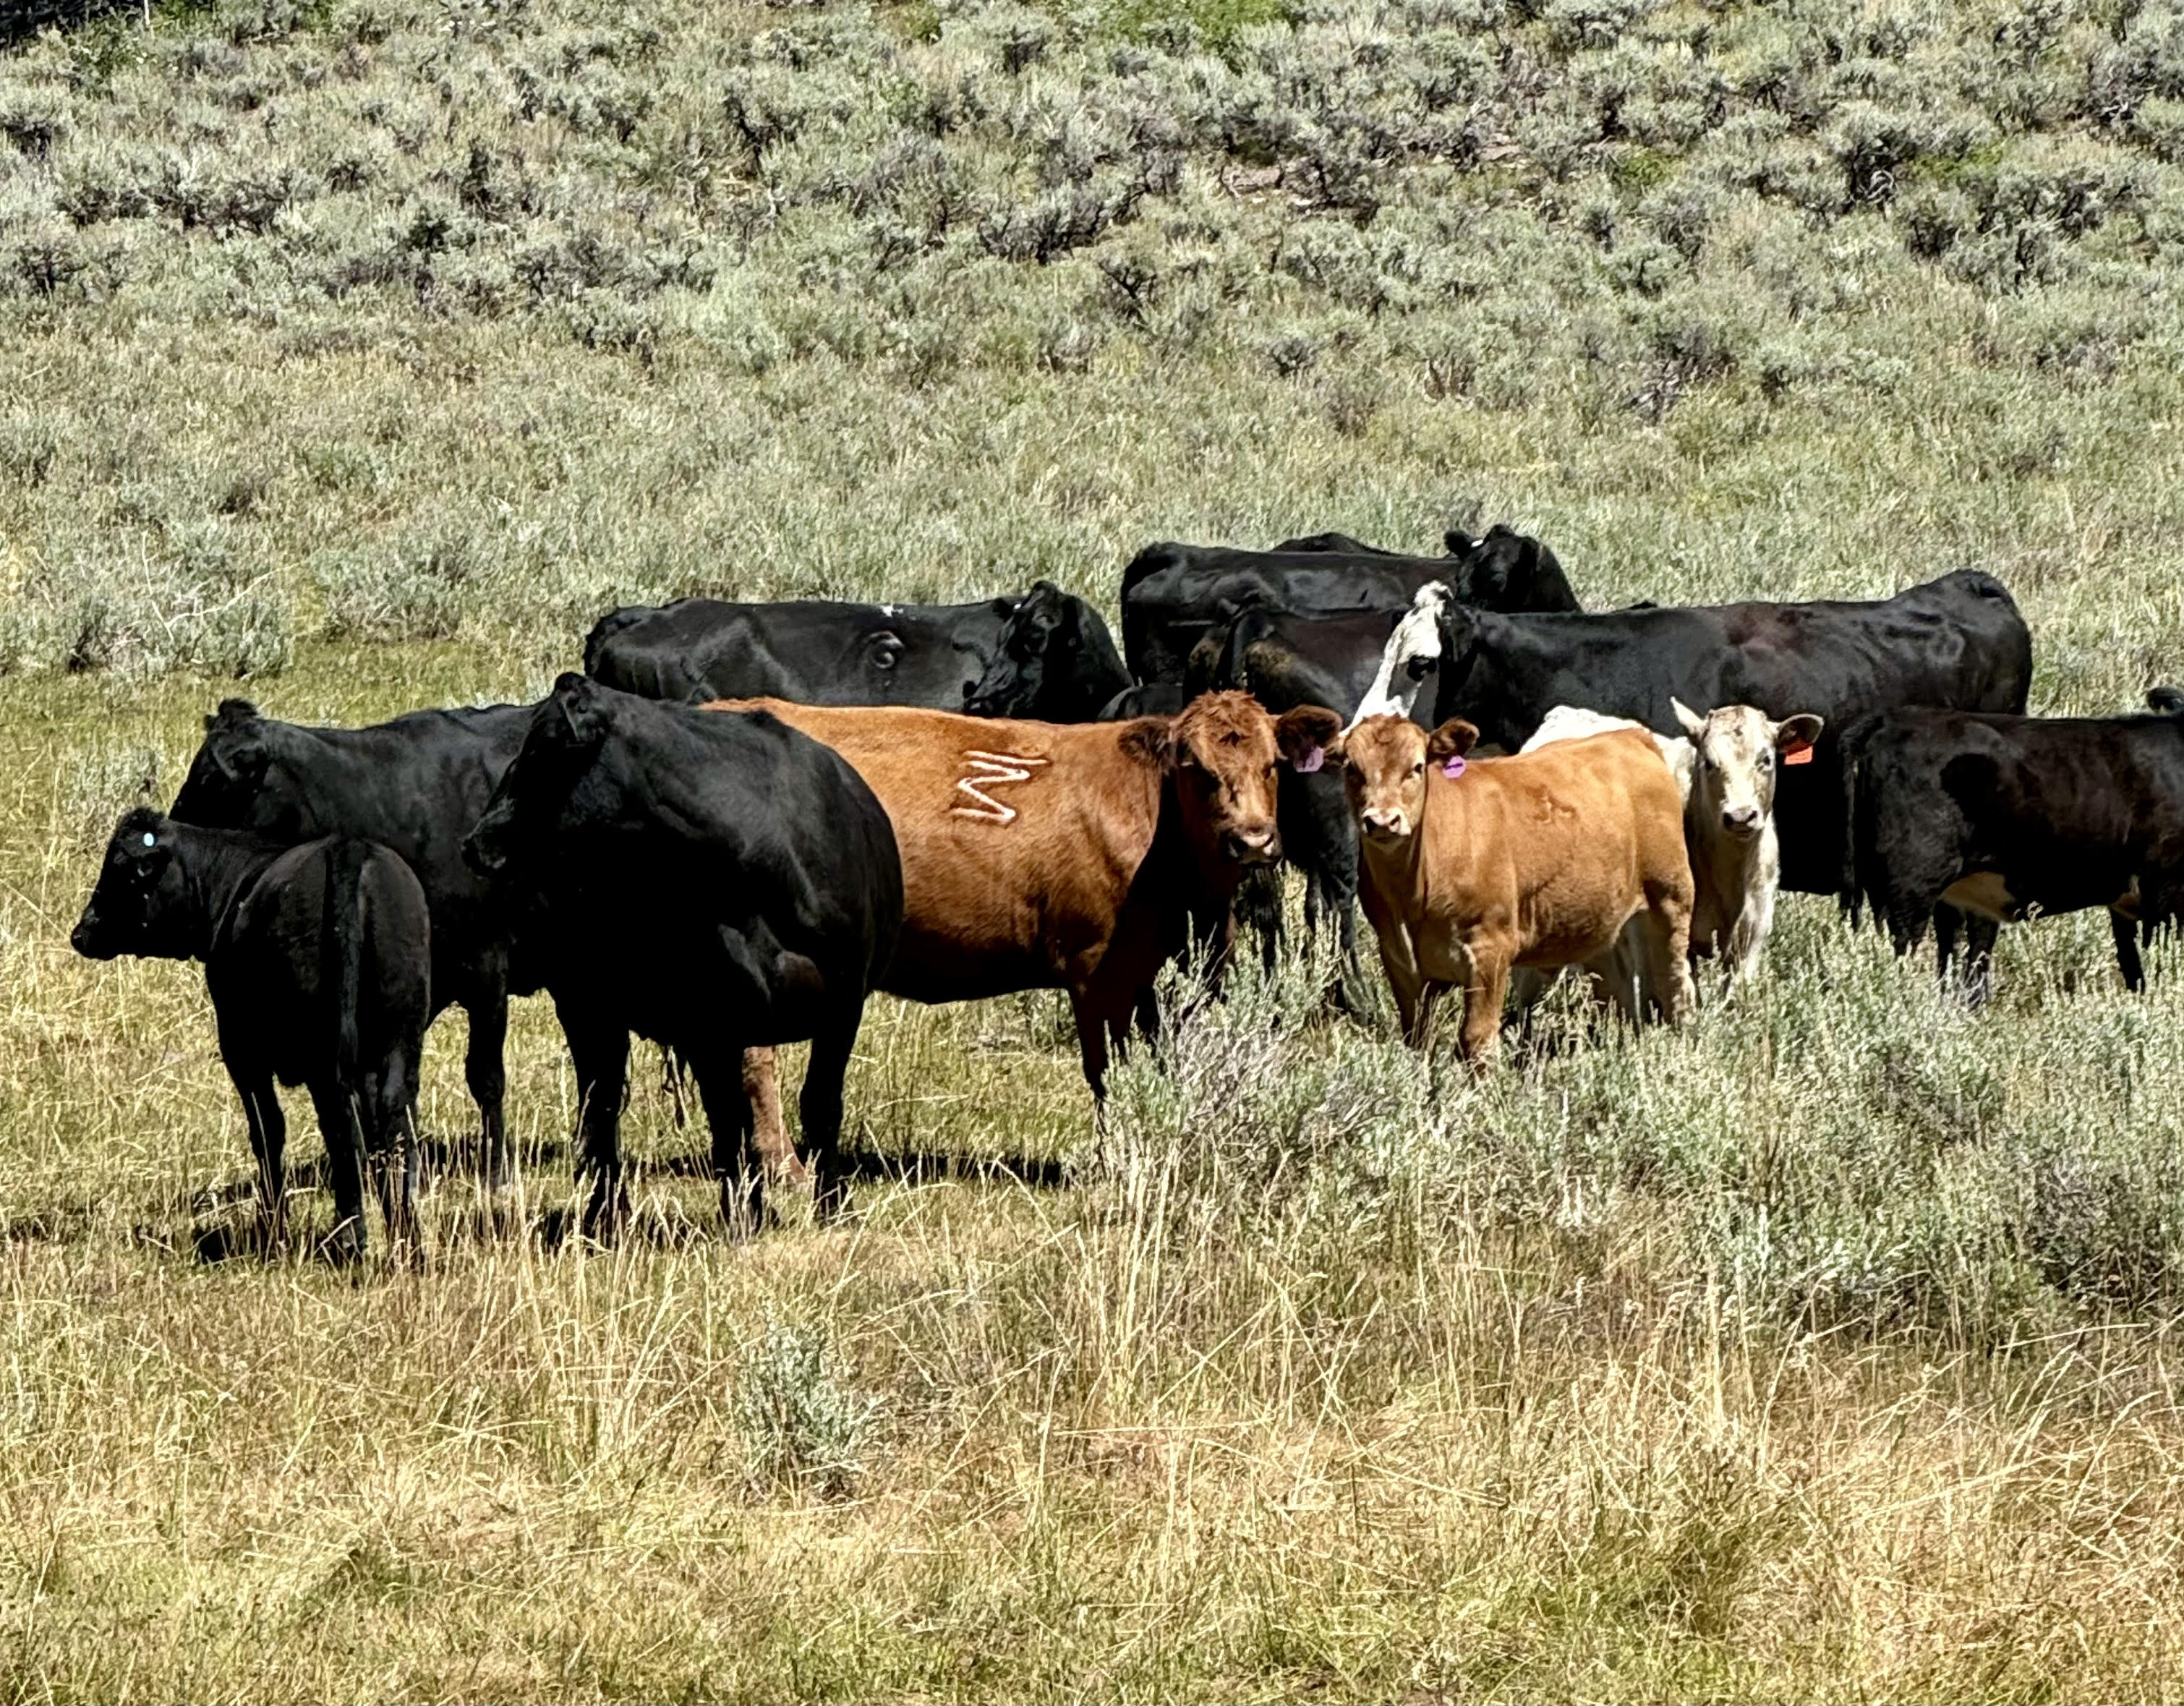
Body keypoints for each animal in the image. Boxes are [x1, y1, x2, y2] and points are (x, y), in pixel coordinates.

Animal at [70, 803, 427, 1258]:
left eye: (122, 873)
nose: (82, 932)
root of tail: (348, 850)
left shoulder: (242, 1053)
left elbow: (267, 1130)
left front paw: (273, 1228)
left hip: (321, 1053)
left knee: (341, 1129)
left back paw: (348, 1239)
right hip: (400, 1039)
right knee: (396, 1127)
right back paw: (408, 1241)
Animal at [461, 668, 904, 1240]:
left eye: (543, 751)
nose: (475, 842)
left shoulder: (843, 997)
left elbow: (819, 1104)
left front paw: (830, 1207)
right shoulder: (710, 1017)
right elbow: (727, 1121)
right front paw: (743, 1215)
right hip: (588, 1006)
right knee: (600, 1108)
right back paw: (605, 1216)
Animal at [1336, 712, 1694, 1057]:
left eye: (1417, 767)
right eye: (1351, 768)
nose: (1382, 821)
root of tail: (1629, 737)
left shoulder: (1489, 950)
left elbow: (1477, 1039)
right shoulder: (1399, 961)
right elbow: (1418, 1038)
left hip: (1669, 900)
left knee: (1676, 988)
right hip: (1601, 926)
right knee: (1618, 994)